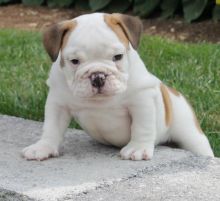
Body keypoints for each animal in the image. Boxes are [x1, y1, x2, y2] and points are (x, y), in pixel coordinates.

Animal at [21, 12, 213, 160]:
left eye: (118, 56)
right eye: (74, 61)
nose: (98, 76)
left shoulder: (141, 101)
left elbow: (142, 126)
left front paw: (138, 148)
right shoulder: (58, 103)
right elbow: (51, 127)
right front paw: (43, 147)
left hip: (189, 132)